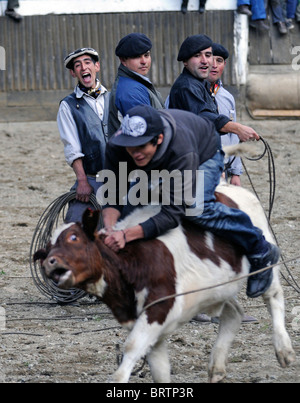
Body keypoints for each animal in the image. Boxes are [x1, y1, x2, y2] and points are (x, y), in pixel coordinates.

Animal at [34, 184, 296, 386]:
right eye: (47, 249)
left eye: (74, 238)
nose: (50, 262)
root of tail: (235, 190)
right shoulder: (145, 322)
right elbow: (158, 368)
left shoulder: (159, 308)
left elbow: (131, 348)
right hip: (217, 290)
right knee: (234, 313)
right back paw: (217, 368)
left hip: (267, 266)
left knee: (273, 296)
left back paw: (284, 350)